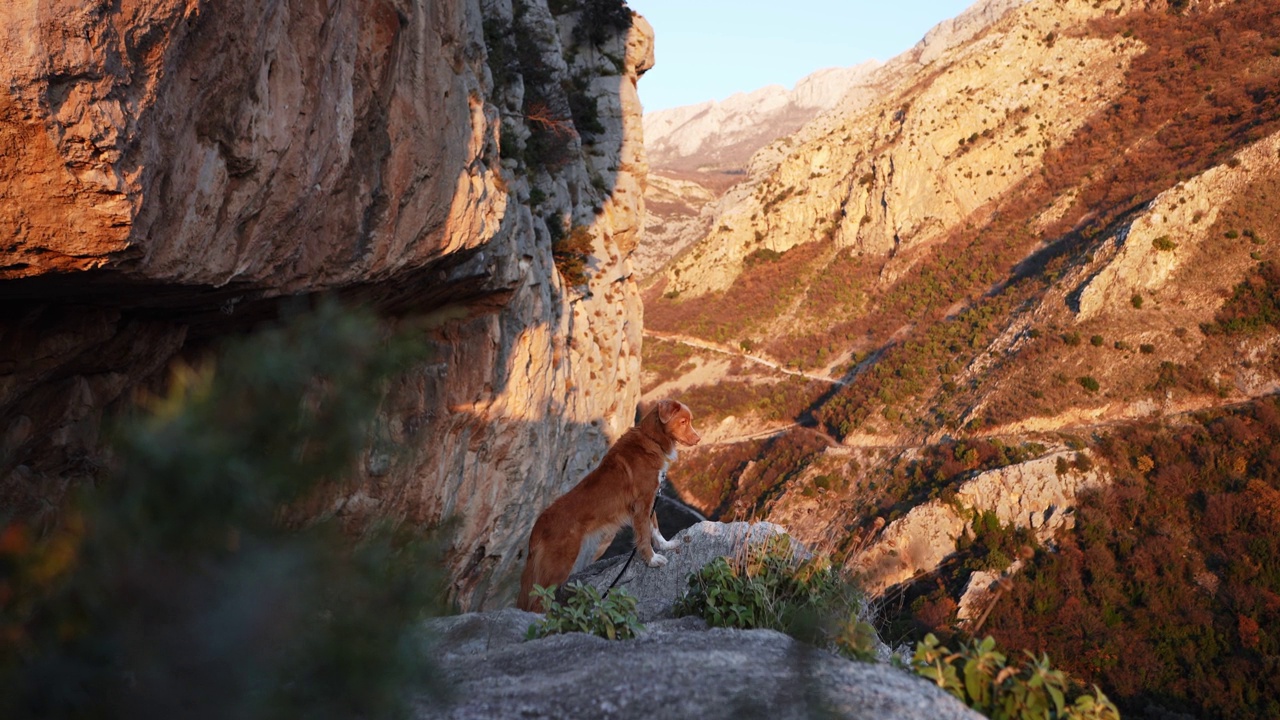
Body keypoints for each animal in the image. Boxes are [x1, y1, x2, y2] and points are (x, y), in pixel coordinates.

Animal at [517, 394, 701, 607]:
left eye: (690, 420)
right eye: (683, 421)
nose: (698, 438)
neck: (651, 440)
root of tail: (538, 525)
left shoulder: (651, 499)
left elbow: (654, 527)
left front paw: (666, 546)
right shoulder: (642, 503)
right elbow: (644, 535)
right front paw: (652, 560)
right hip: (558, 565)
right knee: (538, 600)